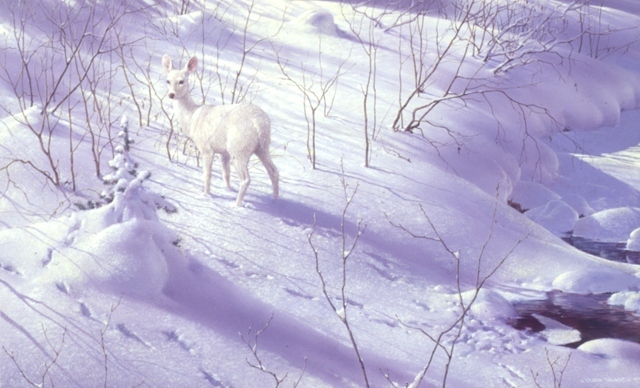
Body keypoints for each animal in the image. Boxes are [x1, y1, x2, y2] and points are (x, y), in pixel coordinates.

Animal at [162, 54, 278, 208]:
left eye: (182, 81)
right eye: (168, 80)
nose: (171, 94)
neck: (192, 118)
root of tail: (258, 124)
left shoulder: (206, 147)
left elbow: (207, 175)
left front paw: (206, 195)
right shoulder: (224, 152)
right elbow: (226, 173)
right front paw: (228, 190)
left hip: (239, 147)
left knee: (246, 179)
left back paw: (237, 205)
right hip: (262, 146)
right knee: (274, 171)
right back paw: (275, 200)